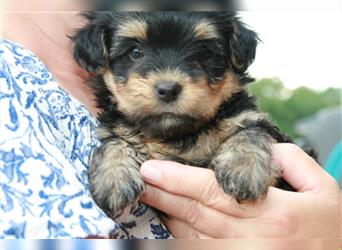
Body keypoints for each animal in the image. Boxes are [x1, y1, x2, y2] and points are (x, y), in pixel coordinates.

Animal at [73, 11, 296, 218]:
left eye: (203, 52)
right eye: (135, 52)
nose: (168, 89)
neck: (177, 133)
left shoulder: (248, 116)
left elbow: (249, 132)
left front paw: (243, 169)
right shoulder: (116, 126)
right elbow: (114, 141)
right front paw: (114, 178)